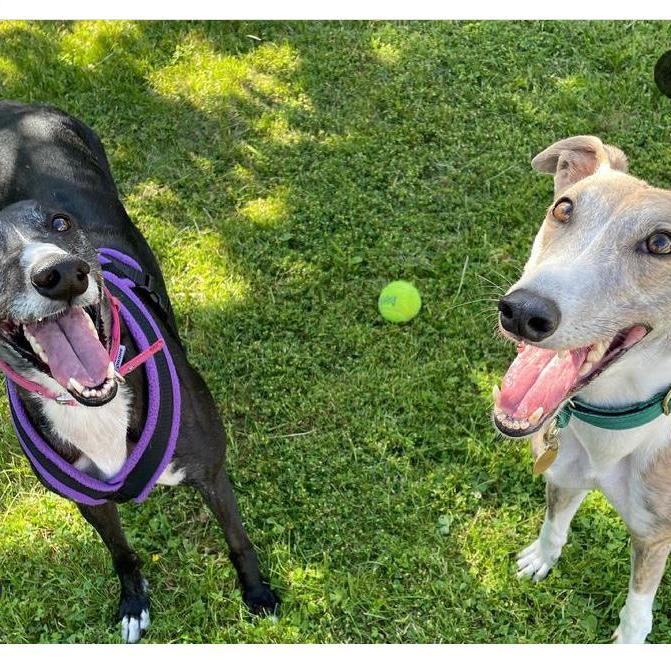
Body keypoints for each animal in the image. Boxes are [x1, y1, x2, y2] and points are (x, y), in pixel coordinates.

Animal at [0, 100, 278, 642]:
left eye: (60, 224)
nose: (60, 274)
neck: (97, 408)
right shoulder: (90, 503)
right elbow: (122, 553)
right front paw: (133, 602)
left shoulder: (211, 472)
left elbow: (238, 538)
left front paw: (258, 594)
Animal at [494, 135, 671, 643]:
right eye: (564, 208)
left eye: (661, 242)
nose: (523, 312)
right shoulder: (563, 475)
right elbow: (554, 526)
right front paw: (540, 559)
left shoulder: (654, 533)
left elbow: (637, 611)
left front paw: (629, 642)